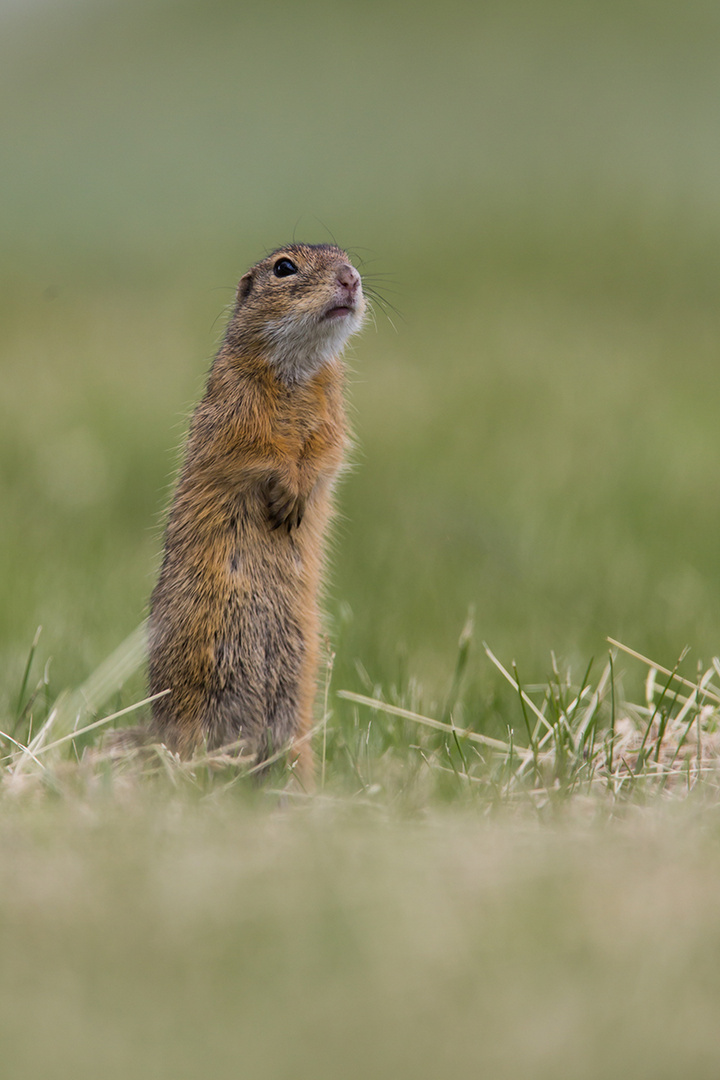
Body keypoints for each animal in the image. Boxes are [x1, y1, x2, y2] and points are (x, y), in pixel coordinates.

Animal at [150, 245, 369, 781]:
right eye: (284, 267)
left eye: (346, 255)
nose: (351, 279)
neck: (300, 366)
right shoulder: (234, 406)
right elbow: (257, 450)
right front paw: (286, 487)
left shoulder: (333, 411)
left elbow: (326, 451)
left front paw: (300, 491)